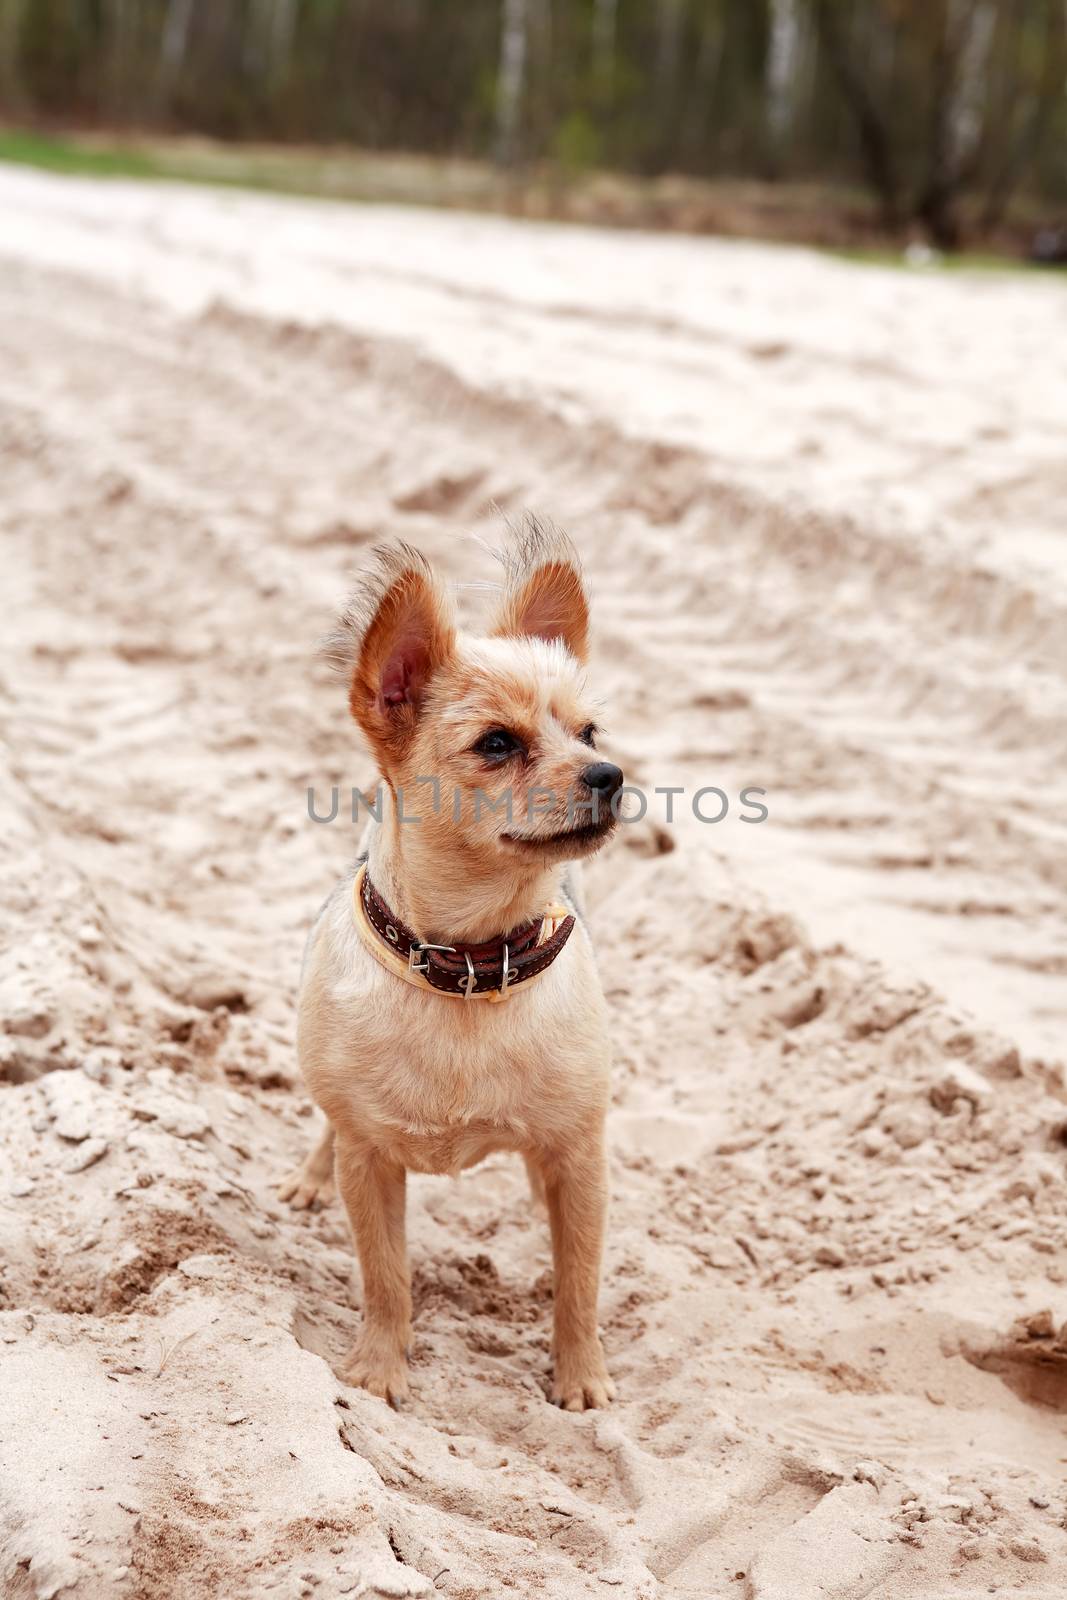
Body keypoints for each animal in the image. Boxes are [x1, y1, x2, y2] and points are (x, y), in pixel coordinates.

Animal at [279, 518, 620, 1408]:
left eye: (589, 734)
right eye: (496, 744)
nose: (609, 775)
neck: (471, 963)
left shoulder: (581, 1156)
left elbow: (579, 1281)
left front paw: (581, 1378)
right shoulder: (370, 1161)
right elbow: (384, 1272)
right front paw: (379, 1366)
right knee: (328, 1129)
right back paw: (308, 1178)